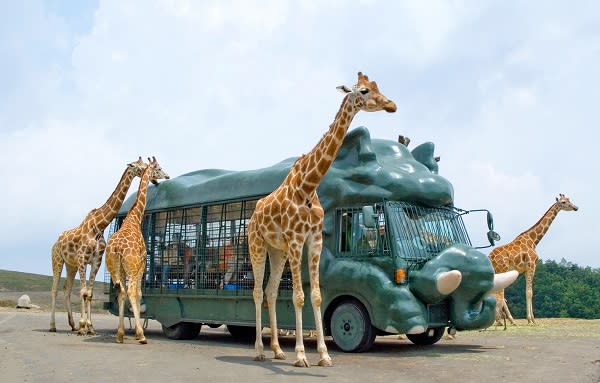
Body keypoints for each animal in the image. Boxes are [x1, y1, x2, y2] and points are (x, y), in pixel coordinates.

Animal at [50, 158, 146, 334]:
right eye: (137, 166)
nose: (148, 171)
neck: (99, 225)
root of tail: (56, 242)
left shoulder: (95, 261)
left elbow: (90, 293)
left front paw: (89, 327)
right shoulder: (83, 259)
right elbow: (83, 292)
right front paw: (83, 326)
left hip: (71, 265)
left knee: (66, 289)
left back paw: (72, 325)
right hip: (57, 260)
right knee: (54, 289)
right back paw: (53, 325)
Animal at [105, 156, 169, 344]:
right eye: (158, 168)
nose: (167, 176)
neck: (134, 218)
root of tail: (117, 249)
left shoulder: (126, 269)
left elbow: (124, 294)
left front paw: (125, 332)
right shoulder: (142, 263)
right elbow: (139, 293)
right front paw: (138, 333)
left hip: (114, 268)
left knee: (121, 291)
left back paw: (120, 334)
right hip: (131, 269)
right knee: (131, 291)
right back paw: (141, 335)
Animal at [246, 72, 396, 368]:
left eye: (378, 86)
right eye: (364, 90)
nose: (391, 105)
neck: (308, 184)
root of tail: (253, 215)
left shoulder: (314, 240)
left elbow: (315, 295)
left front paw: (324, 356)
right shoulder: (296, 239)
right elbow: (298, 296)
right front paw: (302, 355)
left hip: (277, 251)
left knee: (270, 291)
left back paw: (277, 350)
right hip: (257, 245)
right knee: (257, 292)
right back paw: (259, 351)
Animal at [490, 194, 580, 326]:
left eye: (569, 199)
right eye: (563, 202)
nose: (575, 207)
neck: (534, 240)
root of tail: (489, 257)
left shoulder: (525, 270)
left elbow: (528, 292)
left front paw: (531, 319)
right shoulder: (532, 266)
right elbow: (529, 292)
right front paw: (531, 320)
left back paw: (507, 320)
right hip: (502, 270)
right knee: (499, 292)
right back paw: (503, 321)